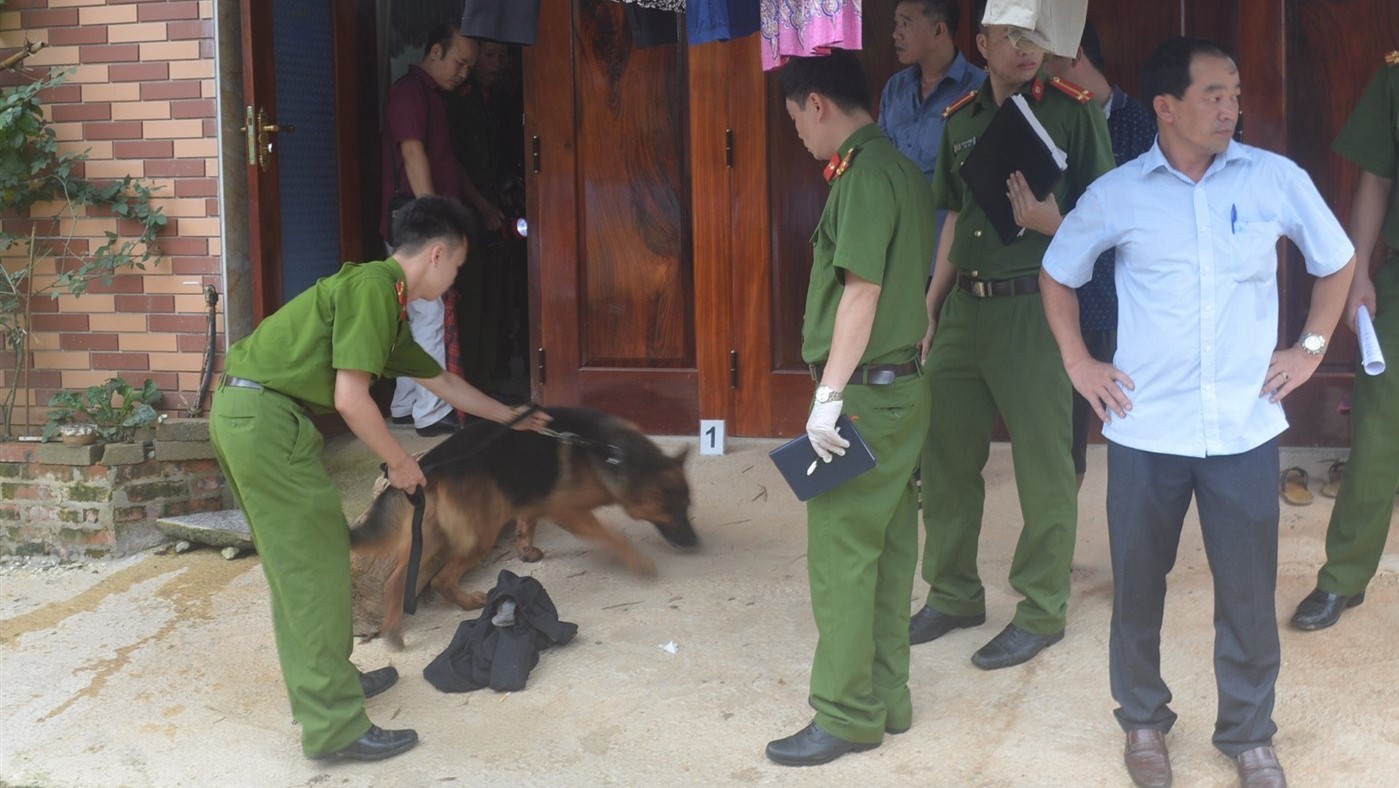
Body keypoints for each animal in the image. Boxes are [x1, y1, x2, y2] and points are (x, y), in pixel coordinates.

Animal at [349, 405, 699, 646]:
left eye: (687, 508)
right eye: (674, 511)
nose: (695, 544)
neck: (613, 454)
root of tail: (430, 462)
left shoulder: (532, 501)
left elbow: (527, 521)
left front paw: (526, 549)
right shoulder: (566, 511)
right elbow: (613, 536)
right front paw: (637, 561)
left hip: (431, 535)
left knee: (396, 580)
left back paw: (393, 629)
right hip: (479, 534)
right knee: (440, 579)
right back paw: (467, 602)